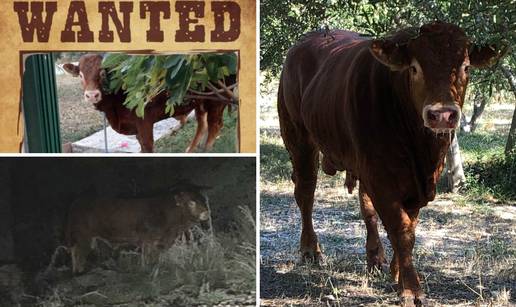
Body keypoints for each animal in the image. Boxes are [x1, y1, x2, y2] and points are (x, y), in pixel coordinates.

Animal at [280, 22, 502, 307]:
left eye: (466, 67)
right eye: (414, 67)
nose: (442, 115)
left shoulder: (415, 183)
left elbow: (410, 226)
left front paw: (397, 273)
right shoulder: (381, 176)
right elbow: (401, 229)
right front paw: (411, 289)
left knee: (366, 208)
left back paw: (375, 257)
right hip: (299, 138)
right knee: (306, 193)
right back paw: (310, 250)